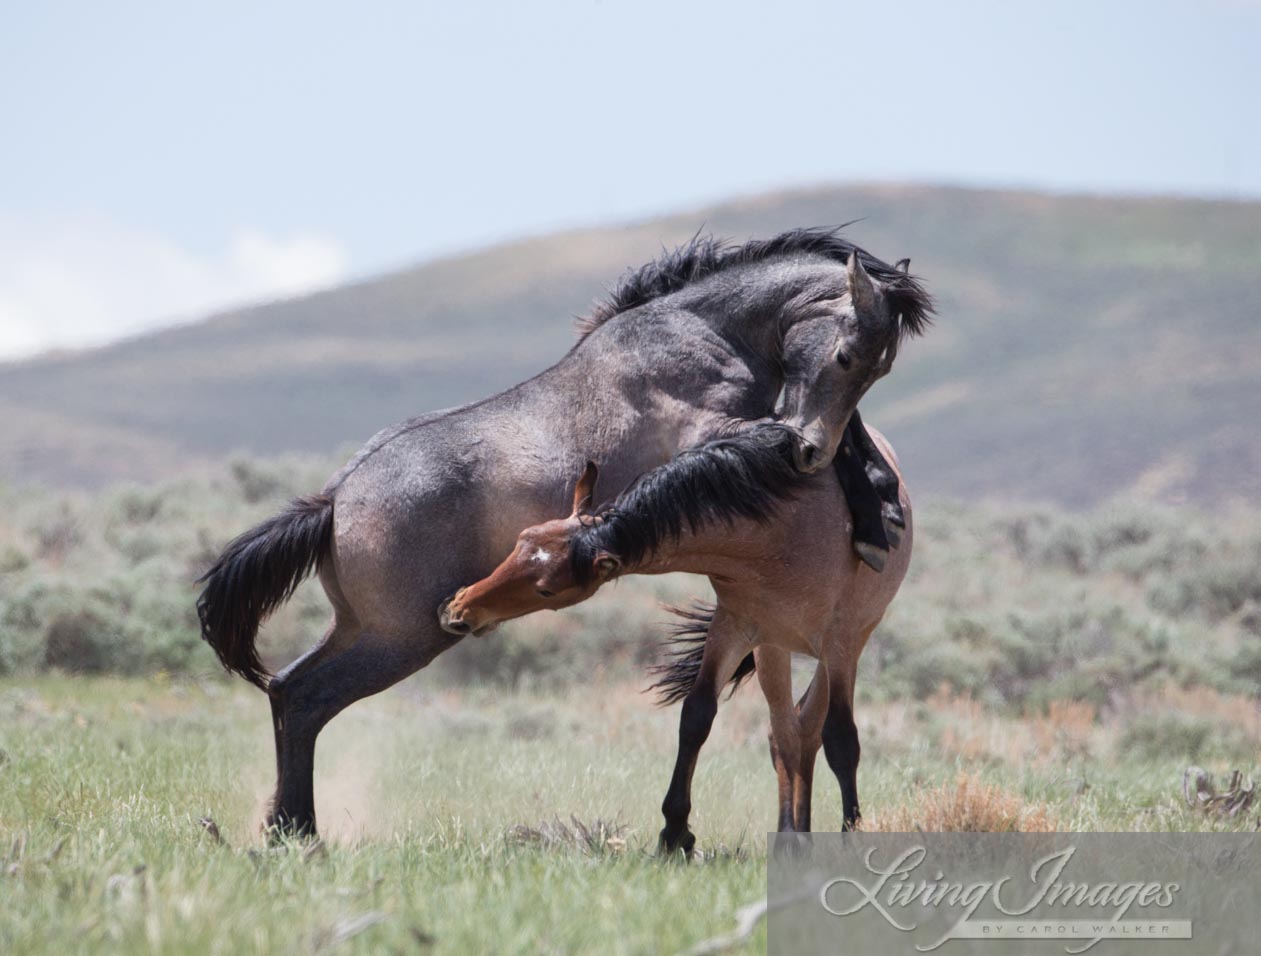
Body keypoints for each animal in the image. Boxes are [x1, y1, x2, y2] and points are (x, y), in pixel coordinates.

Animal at [438, 423, 912, 847]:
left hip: (841, 646)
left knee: (811, 729)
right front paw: (674, 832)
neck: (780, 530)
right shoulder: (736, 628)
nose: (459, 608)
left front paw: (852, 833)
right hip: (773, 651)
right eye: (522, 538)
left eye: (546, 590)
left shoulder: (840, 641)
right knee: (788, 733)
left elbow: (842, 739)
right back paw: (791, 835)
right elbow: (696, 717)